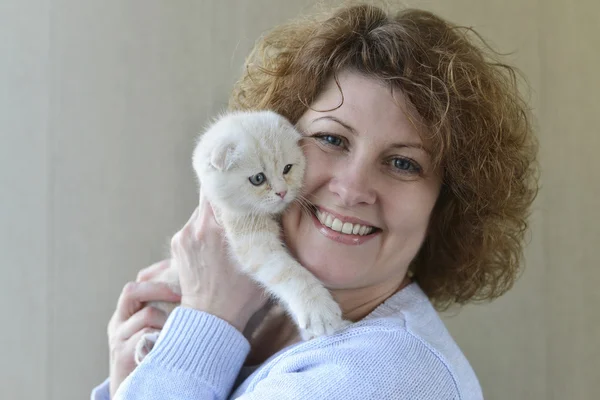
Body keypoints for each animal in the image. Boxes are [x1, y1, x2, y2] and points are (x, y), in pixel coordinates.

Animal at [134, 111, 350, 364]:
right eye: (257, 178)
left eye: (287, 168)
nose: (282, 192)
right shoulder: (251, 240)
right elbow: (290, 272)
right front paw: (319, 311)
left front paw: (316, 329)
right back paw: (147, 345)